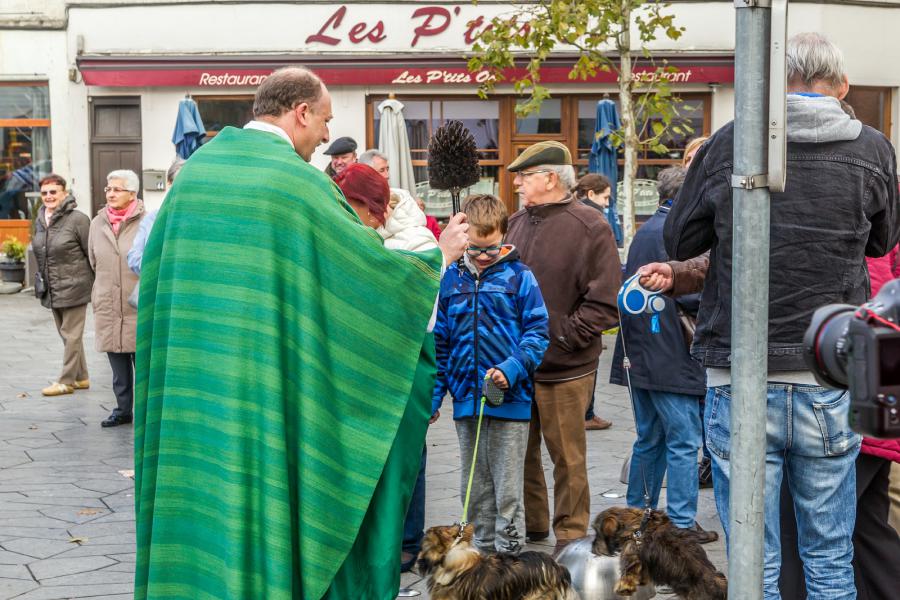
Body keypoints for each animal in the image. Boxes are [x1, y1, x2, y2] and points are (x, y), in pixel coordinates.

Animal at [592, 506, 732, 600]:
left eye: (597, 532)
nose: (593, 548)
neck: (636, 525)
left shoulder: (631, 555)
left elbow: (628, 576)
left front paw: (623, 590)